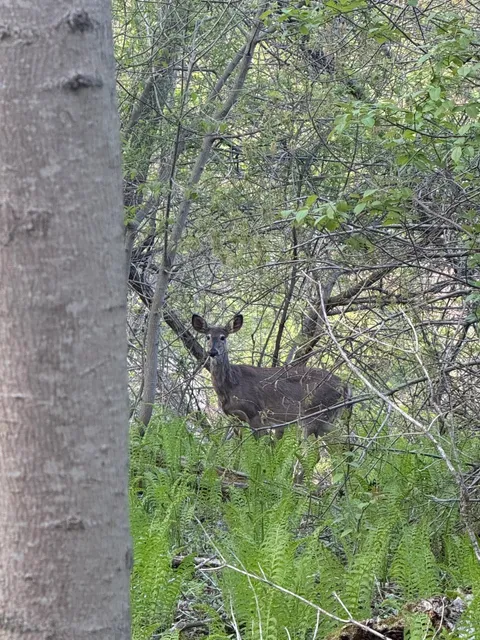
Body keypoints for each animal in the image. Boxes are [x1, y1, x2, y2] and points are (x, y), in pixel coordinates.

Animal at [192, 313, 350, 440]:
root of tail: (345, 386)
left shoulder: (255, 413)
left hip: (315, 414)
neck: (230, 386)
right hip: (328, 418)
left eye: (223, 337)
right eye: (207, 337)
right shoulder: (233, 418)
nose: (212, 352)